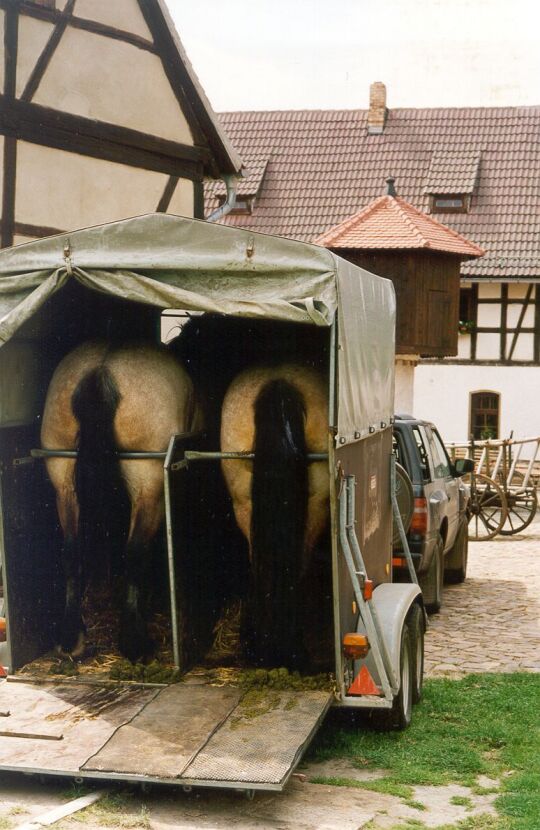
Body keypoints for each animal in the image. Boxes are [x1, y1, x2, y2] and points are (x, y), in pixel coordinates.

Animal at [41, 338, 204, 664]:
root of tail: (102, 370)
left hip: (63, 478)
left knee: (71, 551)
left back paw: (71, 639)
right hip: (147, 482)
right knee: (135, 552)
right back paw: (135, 642)